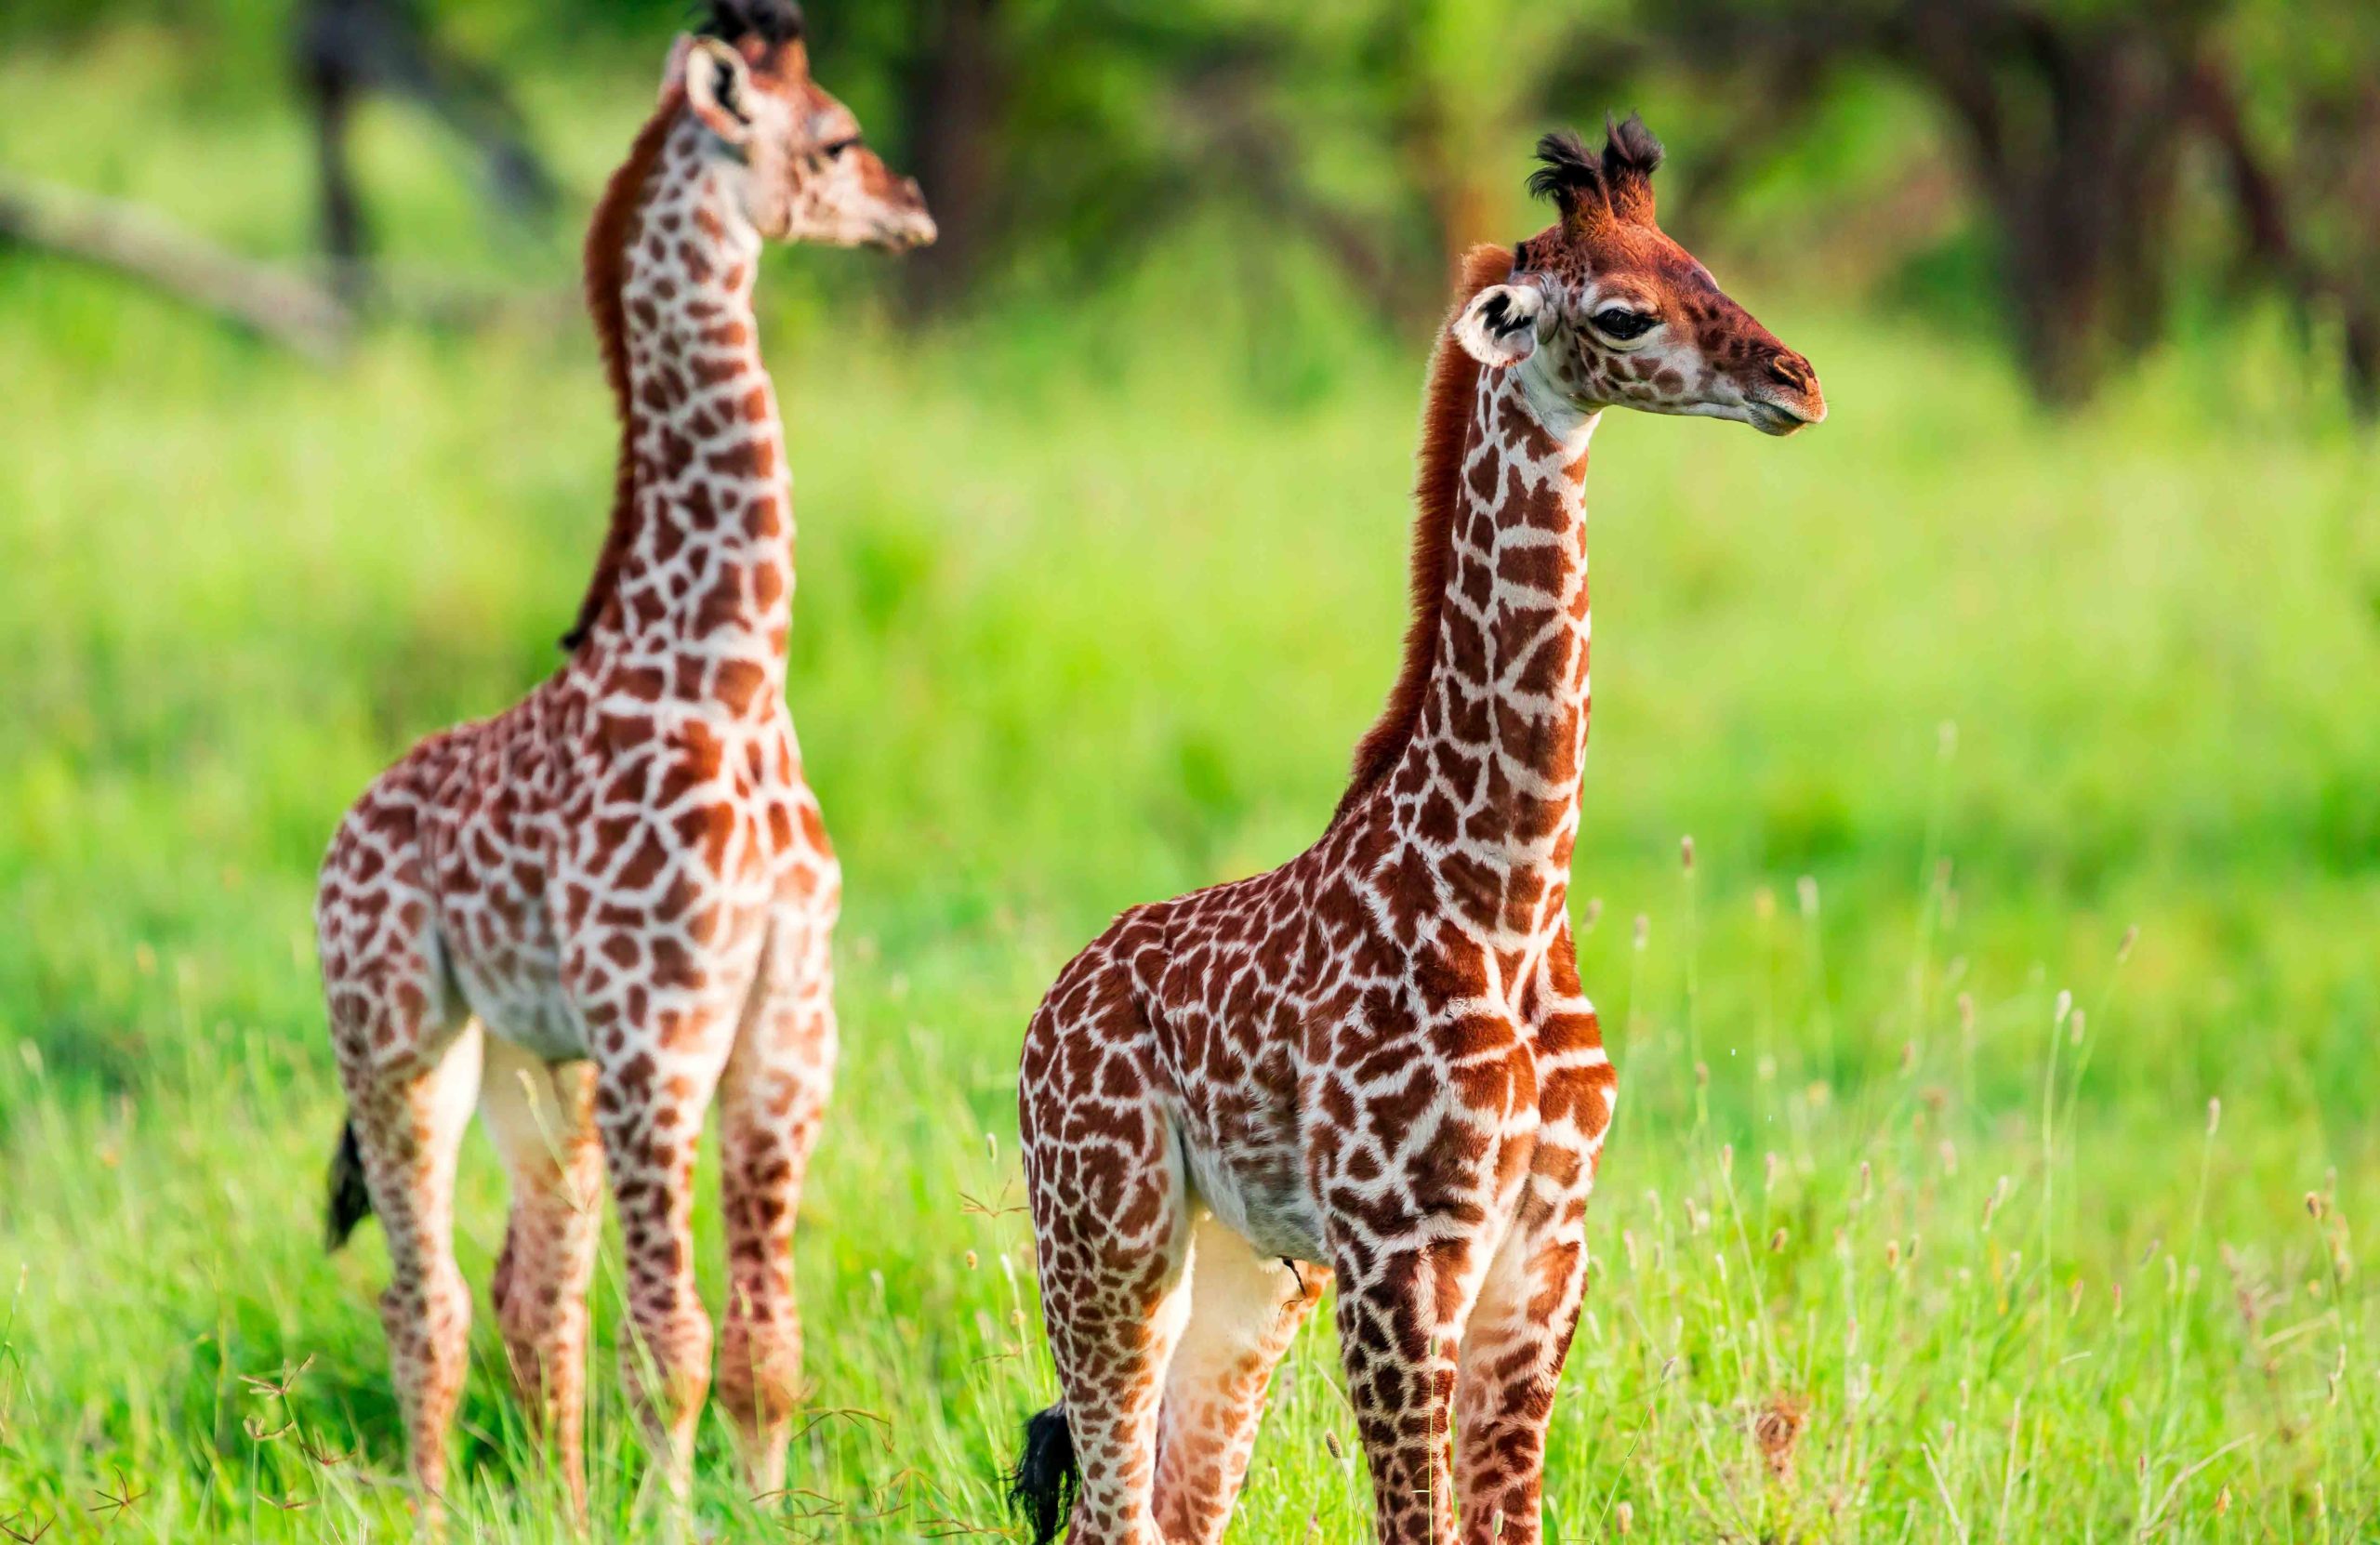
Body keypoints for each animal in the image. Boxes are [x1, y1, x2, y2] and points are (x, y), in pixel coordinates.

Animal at [312, 0, 932, 1521]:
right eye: (838, 138)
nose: (912, 211)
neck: (732, 670)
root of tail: (344, 827)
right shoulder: (663, 1030)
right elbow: (677, 1343)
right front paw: (680, 1526)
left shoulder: (786, 1026)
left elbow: (764, 1346)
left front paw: (757, 1519)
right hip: (399, 1045)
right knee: (427, 1303)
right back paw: (432, 1519)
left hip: (543, 1068)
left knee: (529, 1291)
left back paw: (559, 1508)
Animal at [1009, 117, 1825, 1545]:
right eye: (1623, 311)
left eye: (1700, 263)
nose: (1799, 380)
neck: (1508, 893)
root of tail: (1048, 1010)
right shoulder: (1401, 1253)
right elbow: (1419, 1521)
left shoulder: (1543, 1252)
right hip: (1107, 1239)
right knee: (1112, 1504)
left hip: (1246, 1275)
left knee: (1178, 1500)